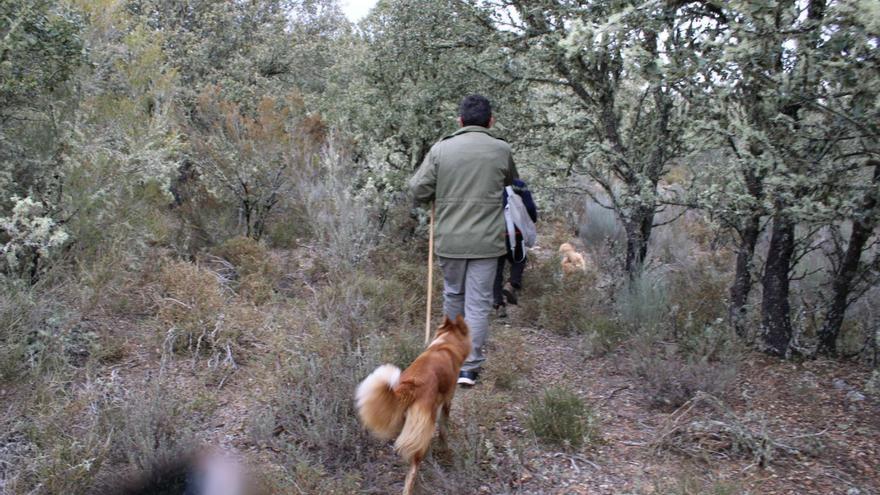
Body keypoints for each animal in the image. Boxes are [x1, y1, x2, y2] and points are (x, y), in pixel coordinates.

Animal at [354, 318, 470, 495]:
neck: (445, 344)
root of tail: (411, 386)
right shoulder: (447, 400)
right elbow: (444, 431)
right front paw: (445, 450)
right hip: (424, 424)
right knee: (412, 470)